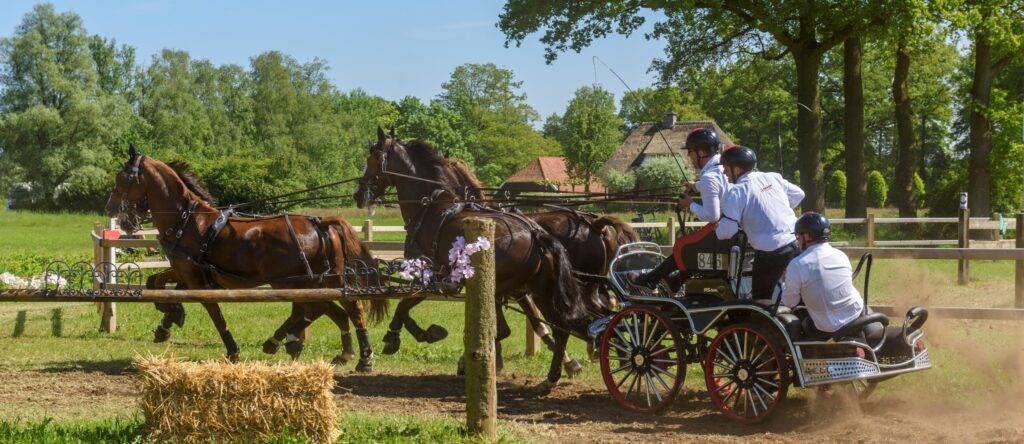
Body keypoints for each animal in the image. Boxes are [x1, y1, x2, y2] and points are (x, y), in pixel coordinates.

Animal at [103, 147, 385, 370]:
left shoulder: (196, 279)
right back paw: (339, 351)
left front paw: (232, 350)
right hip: (321, 280)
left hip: (292, 281)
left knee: (329, 309)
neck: (186, 220)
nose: (111, 207)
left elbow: (214, 314)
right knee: (335, 310)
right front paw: (168, 320)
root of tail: (320, 223)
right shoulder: (185, 271)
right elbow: (156, 282)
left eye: (123, 177)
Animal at [354, 128, 606, 388]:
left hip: (508, 288)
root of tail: (537, 234)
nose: (358, 194)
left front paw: (396, 336)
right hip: (540, 290)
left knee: (539, 327)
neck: (431, 208)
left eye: (372, 158)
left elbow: (404, 305)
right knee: (560, 328)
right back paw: (552, 376)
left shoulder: (430, 274)